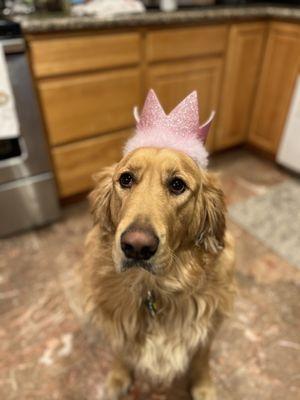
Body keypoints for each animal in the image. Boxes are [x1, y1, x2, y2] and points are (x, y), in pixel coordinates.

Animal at [81, 148, 236, 400]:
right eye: (126, 179)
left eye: (177, 185)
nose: (136, 246)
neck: (153, 289)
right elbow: (120, 349)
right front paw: (118, 377)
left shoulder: (209, 324)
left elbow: (201, 358)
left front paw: (203, 386)